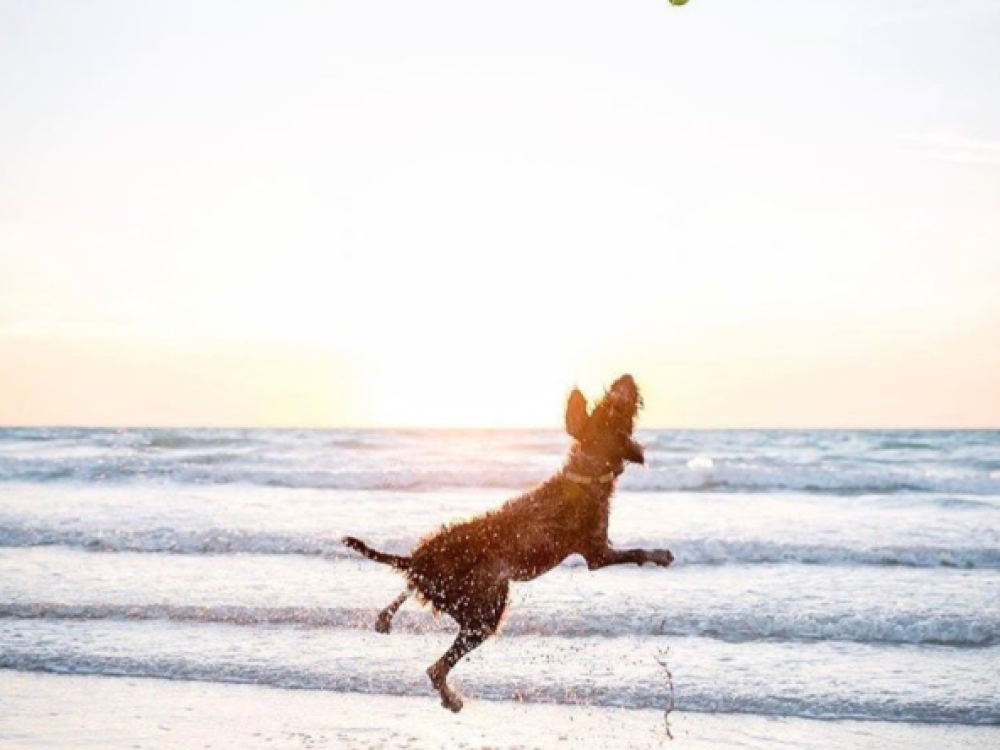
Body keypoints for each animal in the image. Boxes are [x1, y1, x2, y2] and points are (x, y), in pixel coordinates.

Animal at [344, 374, 672, 712]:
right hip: (485, 610)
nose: (627, 379)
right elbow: (635, 552)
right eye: (615, 408)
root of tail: (416, 560)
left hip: (448, 593)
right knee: (437, 667)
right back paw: (450, 697)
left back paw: (386, 617)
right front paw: (659, 555)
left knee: (409, 598)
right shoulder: (597, 553)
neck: (585, 473)